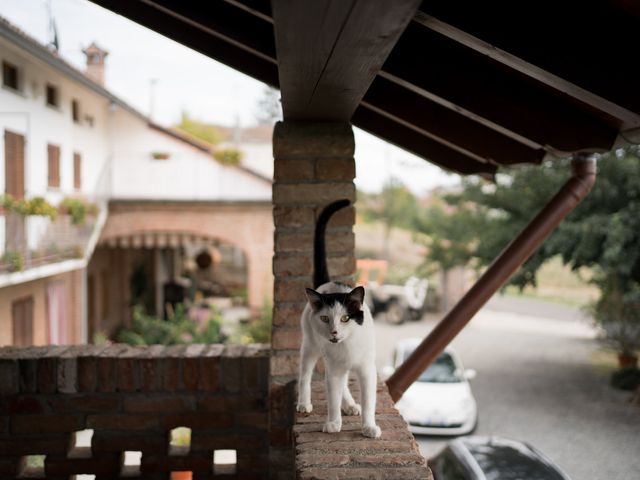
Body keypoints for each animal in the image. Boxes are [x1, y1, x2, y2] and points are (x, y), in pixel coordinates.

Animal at [298, 199, 382, 438]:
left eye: (345, 318)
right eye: (326, 318)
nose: (334, 332)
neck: (347, 347)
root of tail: (327, 284)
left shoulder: (367, 370)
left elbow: (369, 401)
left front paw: (369, 427)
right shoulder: (333, 368)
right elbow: (332, 398)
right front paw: (333, 423)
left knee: (342, 382)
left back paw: (351, 405)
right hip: (310, 346)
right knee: (305, 375)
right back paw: (304, 403)